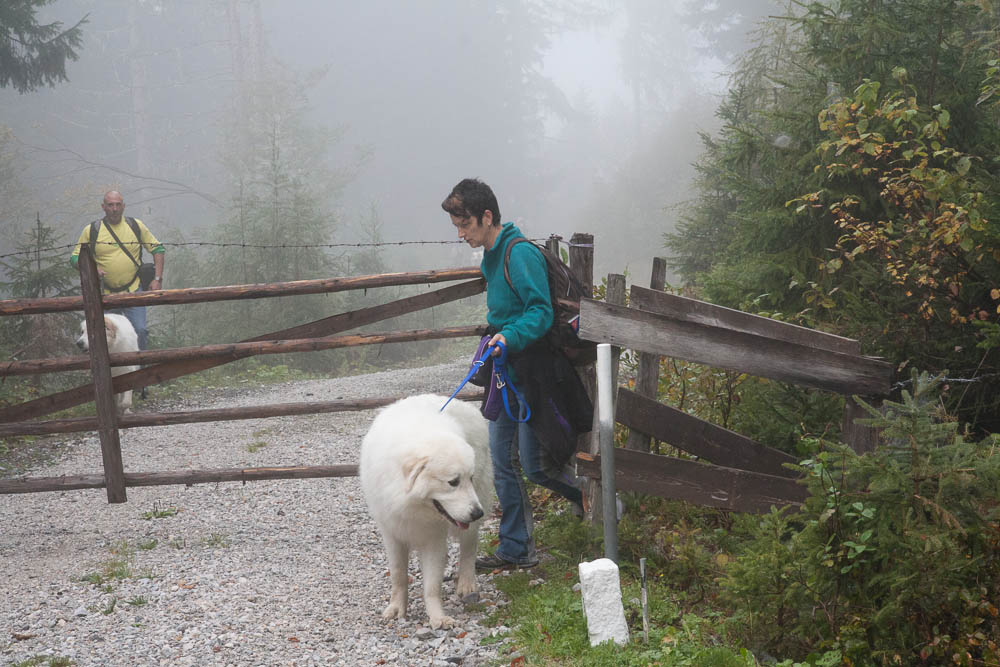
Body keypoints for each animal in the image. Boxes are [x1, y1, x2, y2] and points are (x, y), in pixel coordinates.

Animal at [364, 394, 496, 628]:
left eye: (469, 479)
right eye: (453, 482)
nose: (477, 513)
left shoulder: (434, 539)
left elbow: (432, 585)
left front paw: (437, 617)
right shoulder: (392, 533)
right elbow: (398, 575)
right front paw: (397, 608)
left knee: (469, 548)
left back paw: (467, 583)